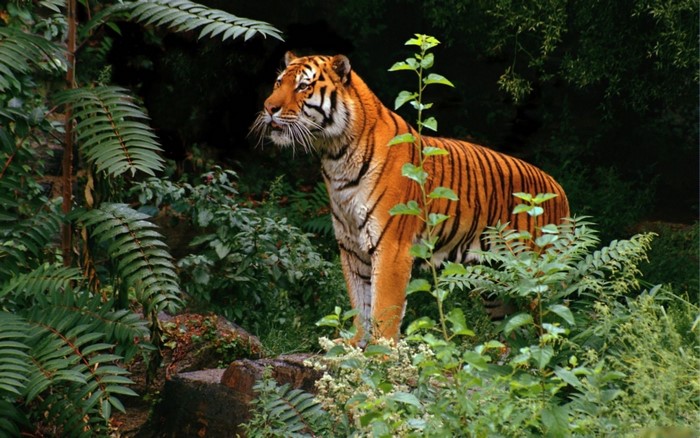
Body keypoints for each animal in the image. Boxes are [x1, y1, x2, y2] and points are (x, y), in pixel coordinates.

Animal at [252, 52, 569, 345]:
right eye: (278, 83)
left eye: (303, 86)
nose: (268, 107)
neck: (336, 155)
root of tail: (559, 188)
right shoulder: (351, 248)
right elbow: (360, 303)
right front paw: (355, 346)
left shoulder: (392, 246)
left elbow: (383, 307)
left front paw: (382, 354)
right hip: (495, 281)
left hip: (537, 275)